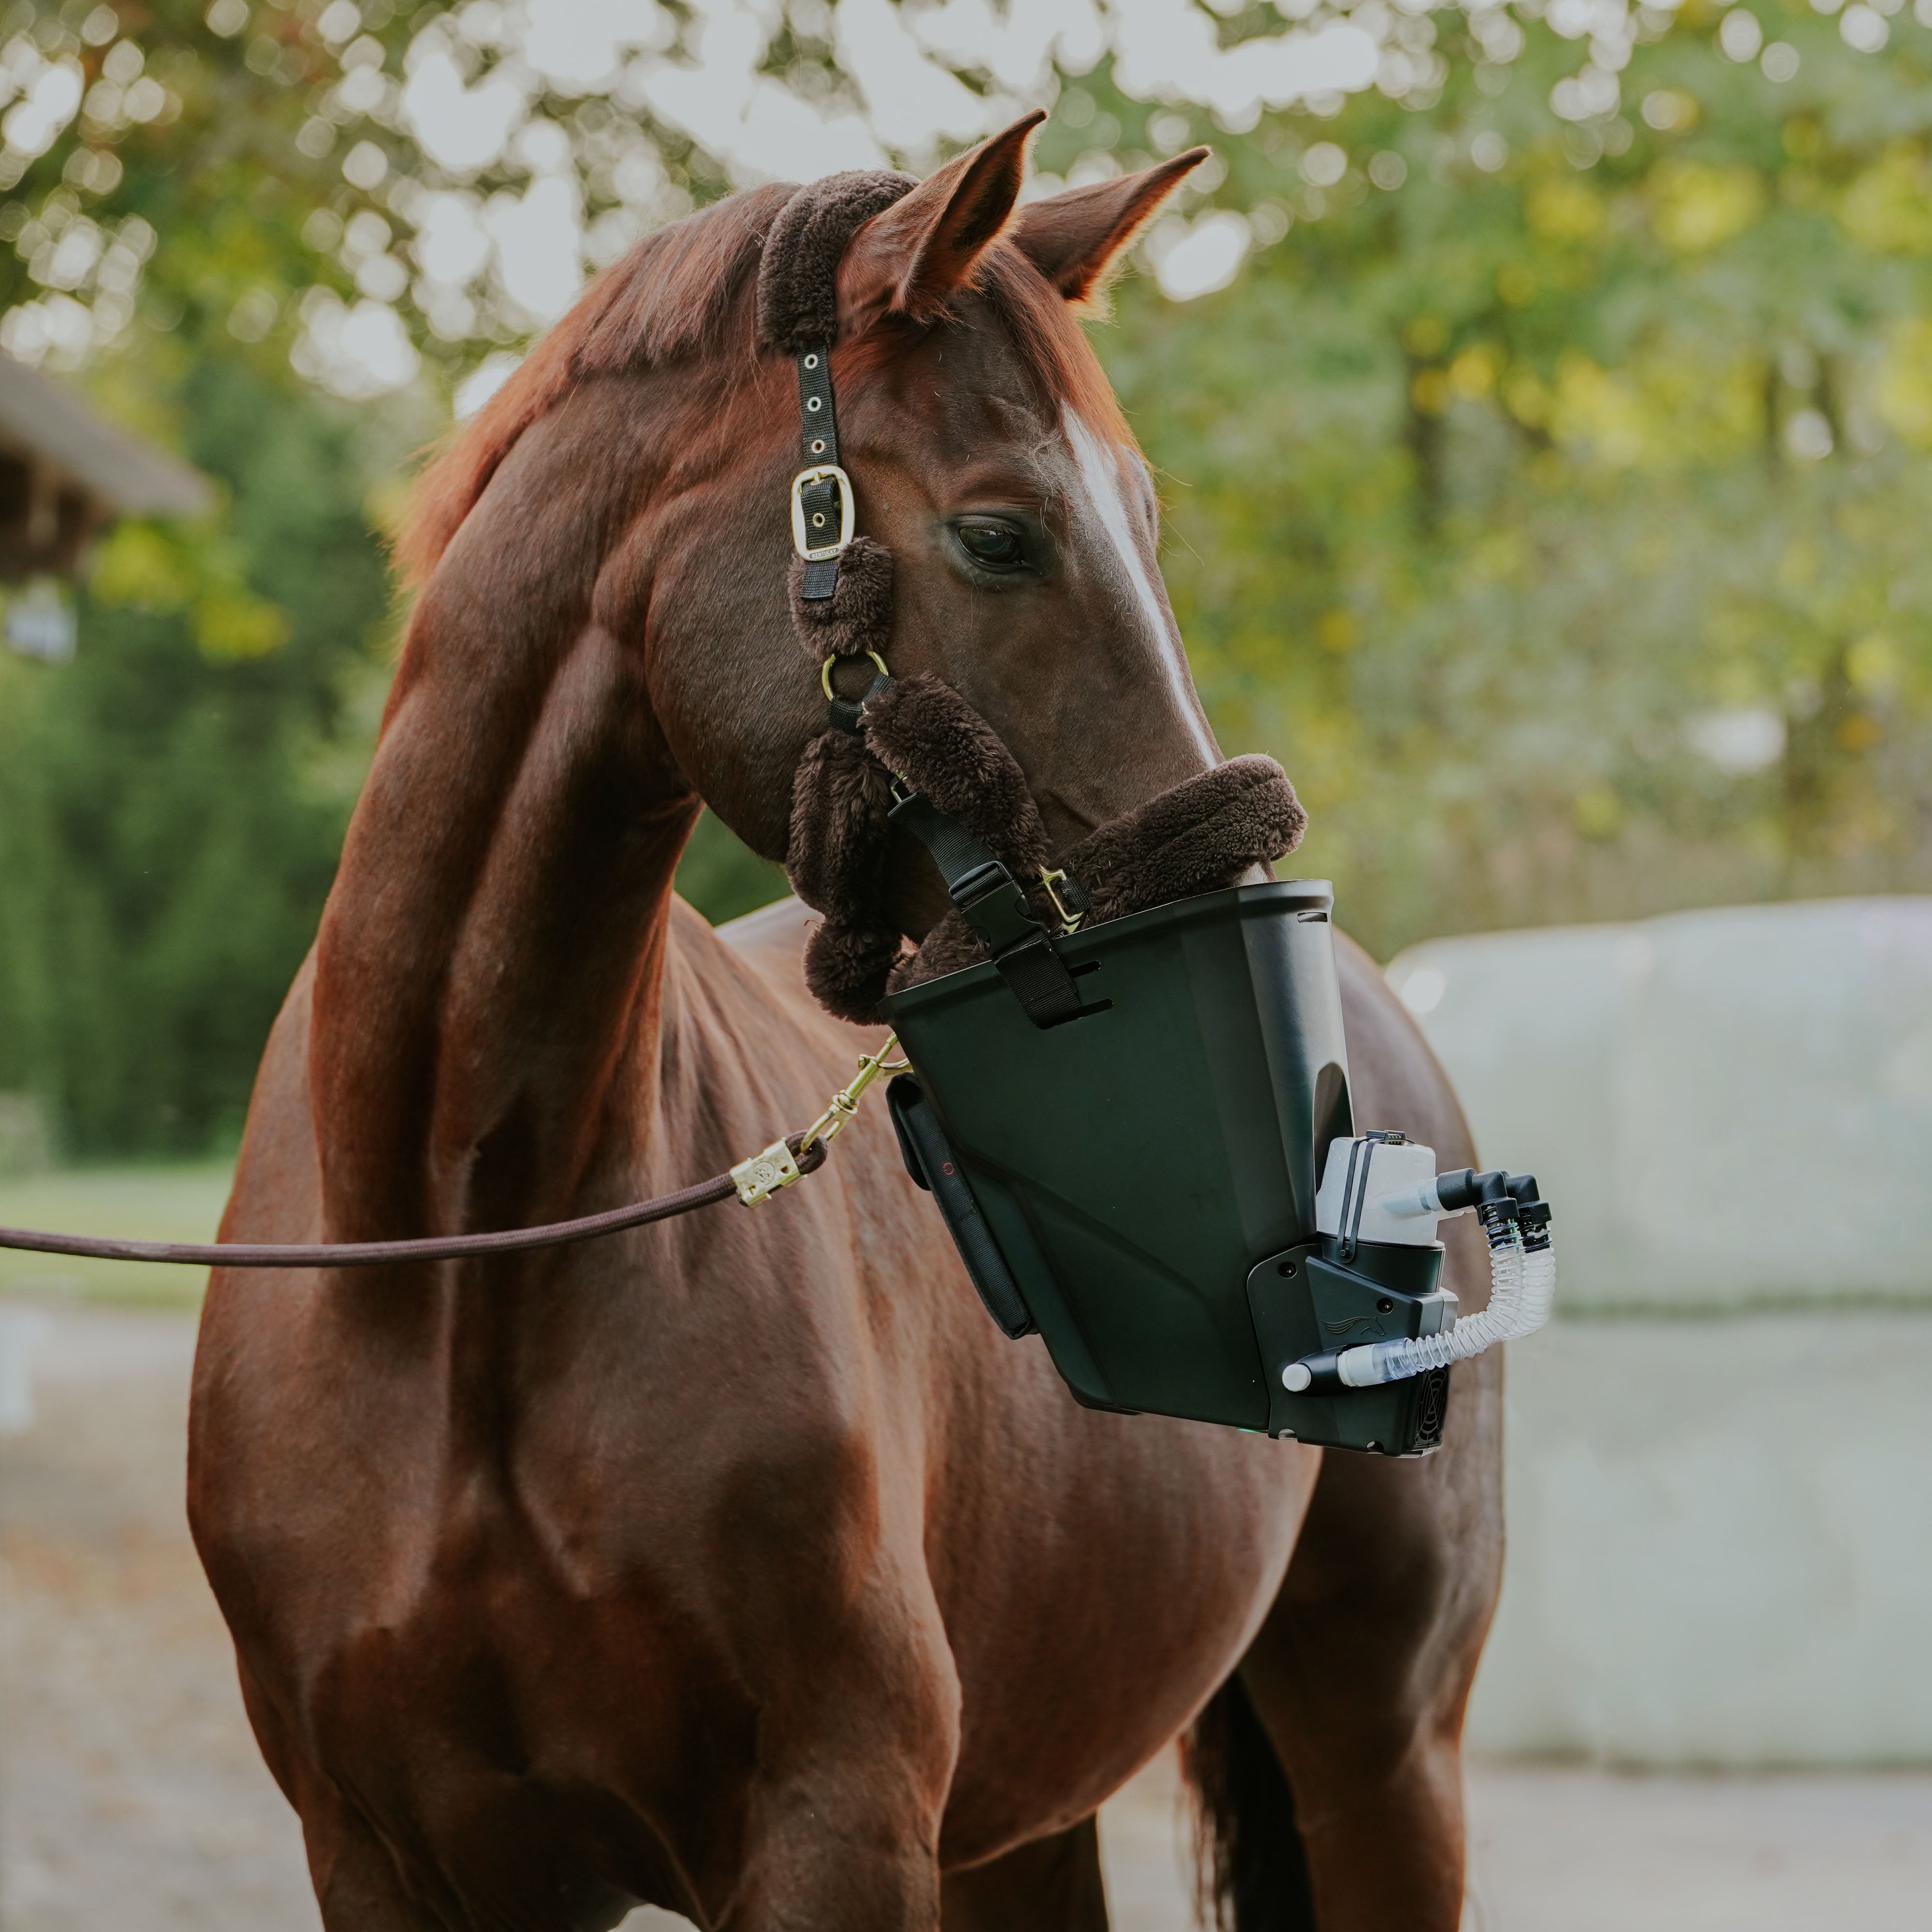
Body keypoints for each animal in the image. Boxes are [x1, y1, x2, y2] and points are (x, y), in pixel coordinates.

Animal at [188, 121, 1499, 1932]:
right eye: (1003, 534)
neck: (450, 1267)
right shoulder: (385, 1858)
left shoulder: (835, 1830)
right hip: (1026, 1820)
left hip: (1386, 1755)